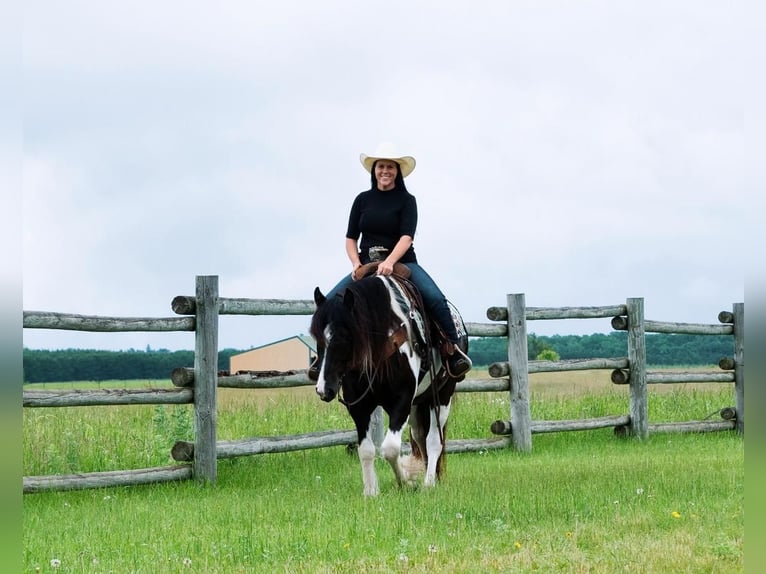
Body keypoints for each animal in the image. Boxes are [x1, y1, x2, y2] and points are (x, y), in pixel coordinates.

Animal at [310, 272, 468, 498]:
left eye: (345, 337)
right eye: (318, 339)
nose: (324, 389)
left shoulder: (402, 400)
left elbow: (391, 448)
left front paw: (407, 481)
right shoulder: (358, 406)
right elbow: (366, 450)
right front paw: (371, 491)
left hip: (443, 395)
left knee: (433, 441)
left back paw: (429, 483)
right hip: (418, 403)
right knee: (420, 438)